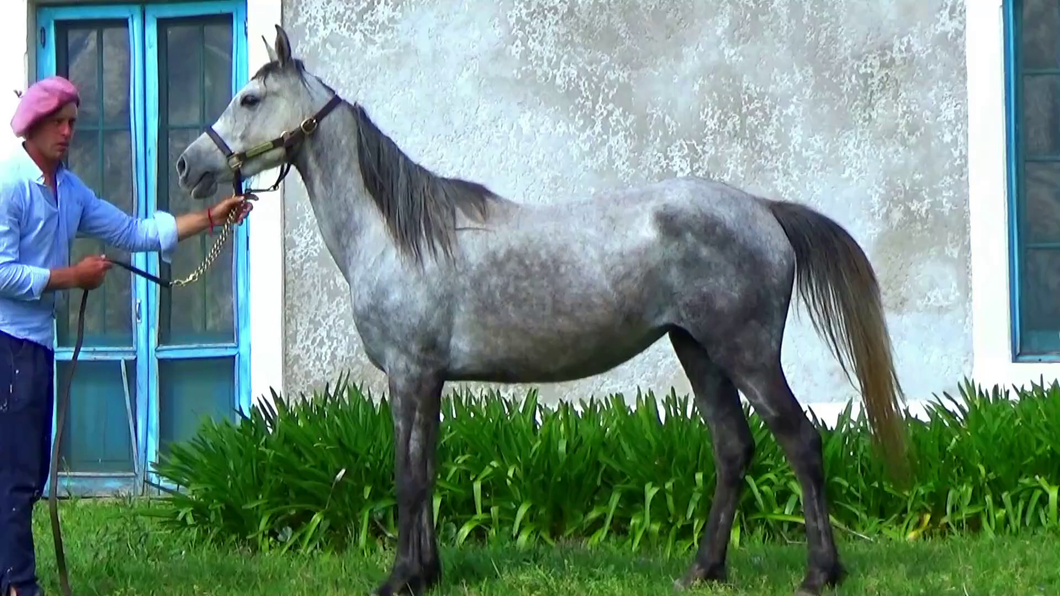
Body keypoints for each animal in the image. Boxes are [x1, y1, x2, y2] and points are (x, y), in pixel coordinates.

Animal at [175, 24, 910, 596]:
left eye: (250, 96)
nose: (187, 165)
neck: (398, 235)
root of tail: (763, 210)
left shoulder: (409, 375)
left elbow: (408, 477)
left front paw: (398, 578)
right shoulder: (429, 382)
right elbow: (427, 472)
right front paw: (426, 573)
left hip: (746, 353)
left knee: (801, 442)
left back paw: (819, 573)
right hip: (696, 350)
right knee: (734, 448)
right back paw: (703, 569)